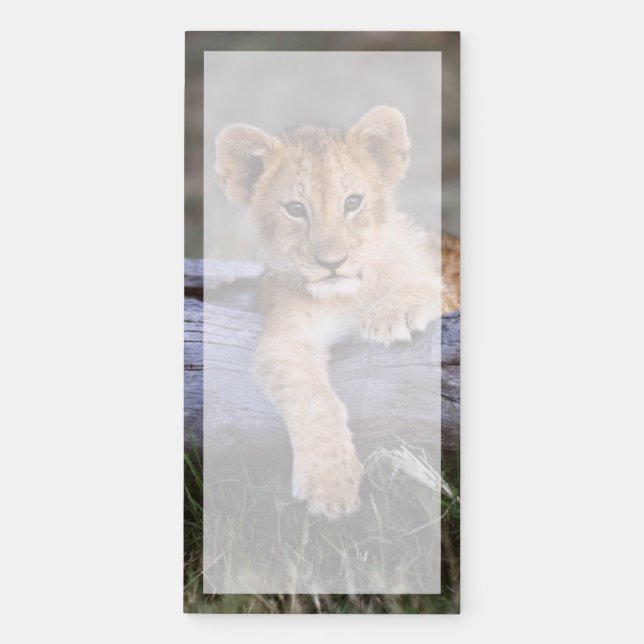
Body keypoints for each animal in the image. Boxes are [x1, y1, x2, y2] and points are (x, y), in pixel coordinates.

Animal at [215, 106, 460, 519]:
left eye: (353, 202)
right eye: (296, 209)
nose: (332, 263)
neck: (348, 296)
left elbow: (430, 287)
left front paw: (392, 313)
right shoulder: (286, 336)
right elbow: (313, 398)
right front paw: (329, 484)